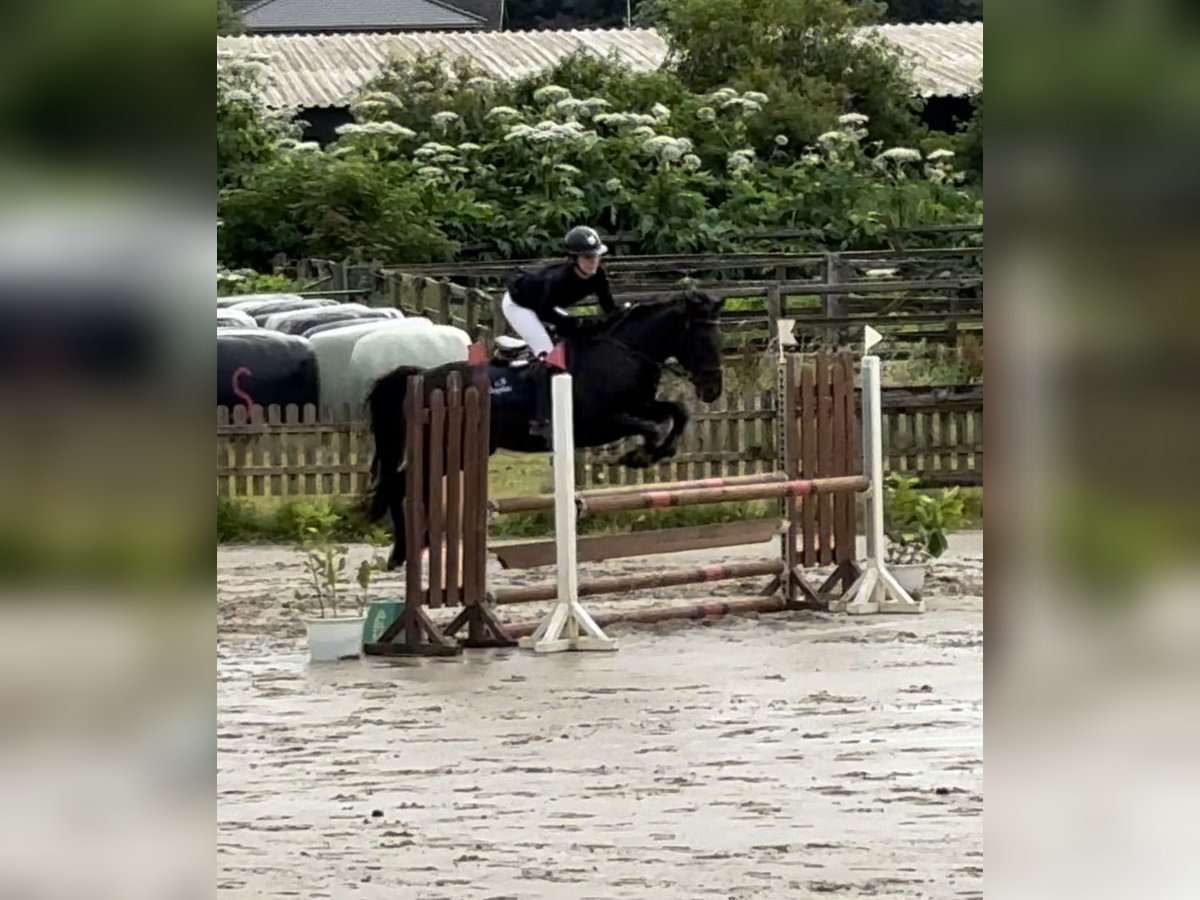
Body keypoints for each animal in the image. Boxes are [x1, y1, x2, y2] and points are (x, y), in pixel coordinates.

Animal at [362, 290, 720, 571]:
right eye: (702, 338)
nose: (712, 390)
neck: (620, 353)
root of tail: (419, 378)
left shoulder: (639, 404)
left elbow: (677, 412)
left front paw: (660, 451)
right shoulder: (600, 424)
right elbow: (651, 426)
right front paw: (639, 456)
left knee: (411, 485)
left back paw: (415, 548)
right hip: (449, 444)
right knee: (400, 485)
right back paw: (400, 555)